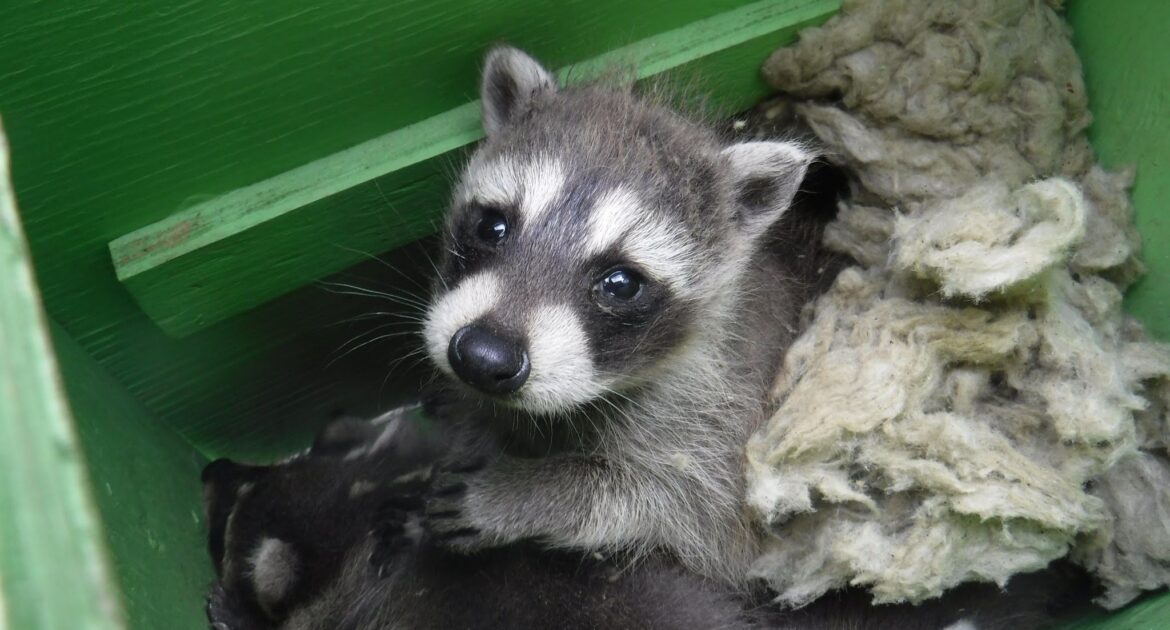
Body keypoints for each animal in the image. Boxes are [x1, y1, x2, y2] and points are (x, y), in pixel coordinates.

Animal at [419, 46, 826, 586]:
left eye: (621, 283)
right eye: (491, 226)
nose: (483, 357)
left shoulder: (723, 416)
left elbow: (685, 505)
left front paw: (530, 492)